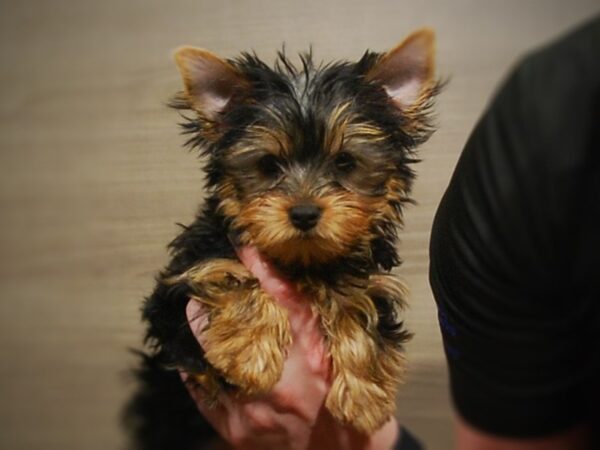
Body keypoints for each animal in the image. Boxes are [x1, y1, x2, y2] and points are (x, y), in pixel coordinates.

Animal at [126, 29, 438, 450]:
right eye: (268, 165)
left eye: (345, 162)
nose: (304, 213)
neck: (302, 261)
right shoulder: (178, 290)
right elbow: (230, 274)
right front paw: (251, 353)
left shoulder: (365, 273)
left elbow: (359, 302)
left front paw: (365, 397)